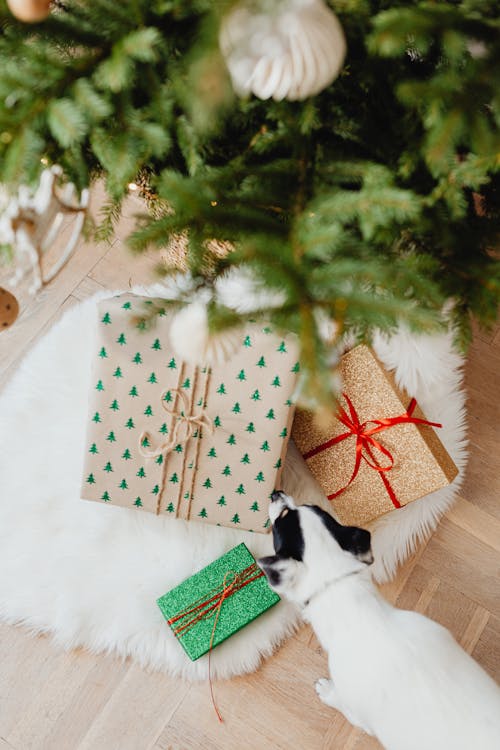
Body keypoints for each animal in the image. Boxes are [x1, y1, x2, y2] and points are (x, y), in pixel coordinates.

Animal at [260, 494, 500, 750]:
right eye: (313, 507)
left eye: (282, 518)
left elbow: (341, 702)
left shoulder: (358, 713)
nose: (276, 494)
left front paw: (327, 691)